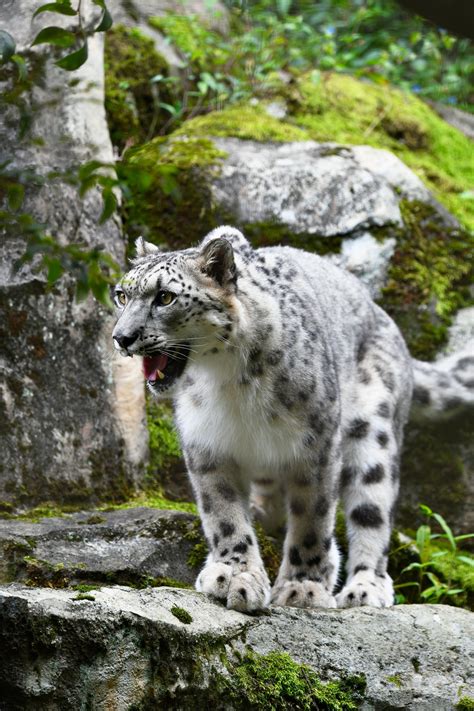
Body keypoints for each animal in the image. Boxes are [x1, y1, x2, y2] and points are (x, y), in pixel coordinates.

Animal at [112, 227, 474, 612]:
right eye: (122, 295)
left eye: (165, 296)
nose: (122, 337)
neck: (227, 381)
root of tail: (385, 318)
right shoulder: (206, 444)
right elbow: (223, 514)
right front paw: (233, 573)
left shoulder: (316, 444)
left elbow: (311, 519)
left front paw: (303, 586)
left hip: (374, 426)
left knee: (372, 508)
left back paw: (365, 587)